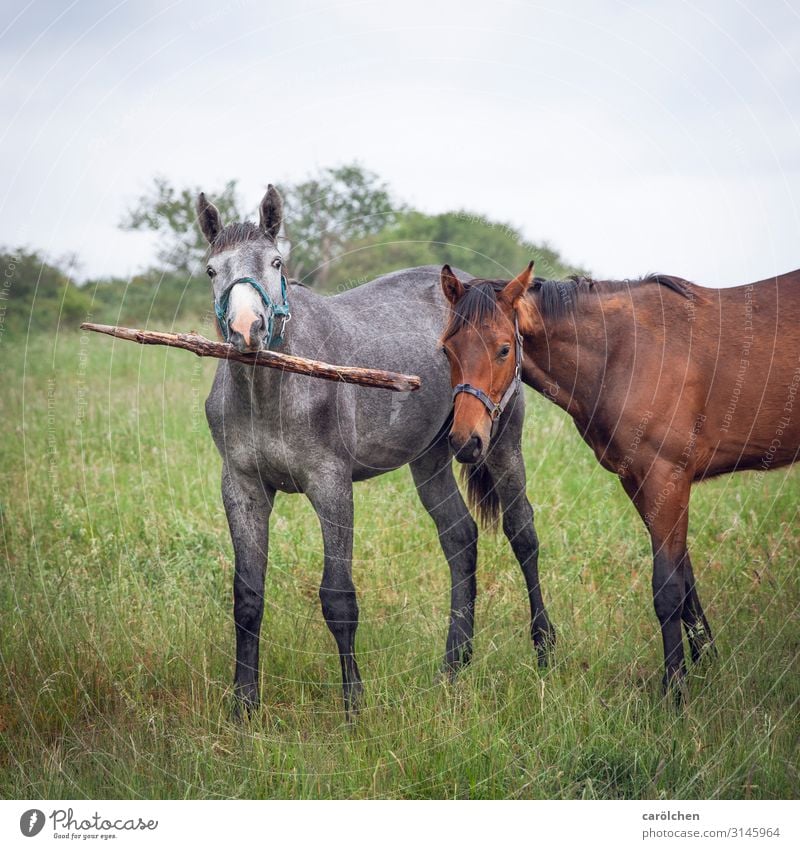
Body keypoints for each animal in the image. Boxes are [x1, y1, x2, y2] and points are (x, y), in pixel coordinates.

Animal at [197, 184, 552, 716]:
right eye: (211, 270)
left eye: (277, 262)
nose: (247, 330)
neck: (272, 388)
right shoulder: (242, 487)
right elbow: (247, 597)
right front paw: (243, 705)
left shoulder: (331, 485)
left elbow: (339, 598)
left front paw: (353, 706)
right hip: (432, 458)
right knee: (460, 539)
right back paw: (454, 664)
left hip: (501, 444)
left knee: (522, 533)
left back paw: (545, 650)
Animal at [440, 264, 800, 696]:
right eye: (446, 350)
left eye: (504, 348)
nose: (465, 442)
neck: (625, 353)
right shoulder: (639, 483)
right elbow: (686, 578)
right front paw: (706, 660)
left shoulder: (666, 478)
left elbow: (668, 588)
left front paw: (675, 689)